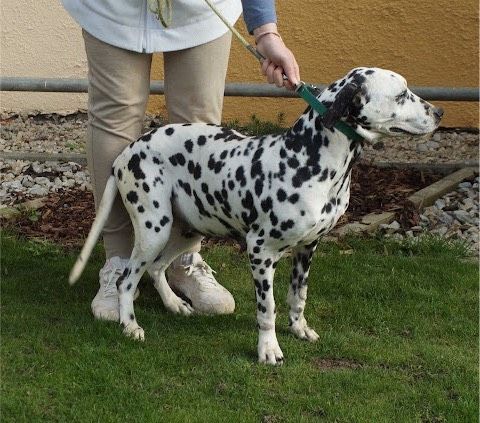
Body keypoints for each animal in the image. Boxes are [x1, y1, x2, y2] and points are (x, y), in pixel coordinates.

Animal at [69, 68, 444, 366]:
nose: (440, 111)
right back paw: (129, 325)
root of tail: (128, 151)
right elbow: (267, 309)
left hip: (186, 232)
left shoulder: (308, 249)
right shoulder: (261, 253)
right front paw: (268, 349)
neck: (309, 159)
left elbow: (297, 297)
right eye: (401, 94)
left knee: (158, 269)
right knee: (127, 279)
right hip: (153, 230)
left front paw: (300, 329)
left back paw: (175, 305)